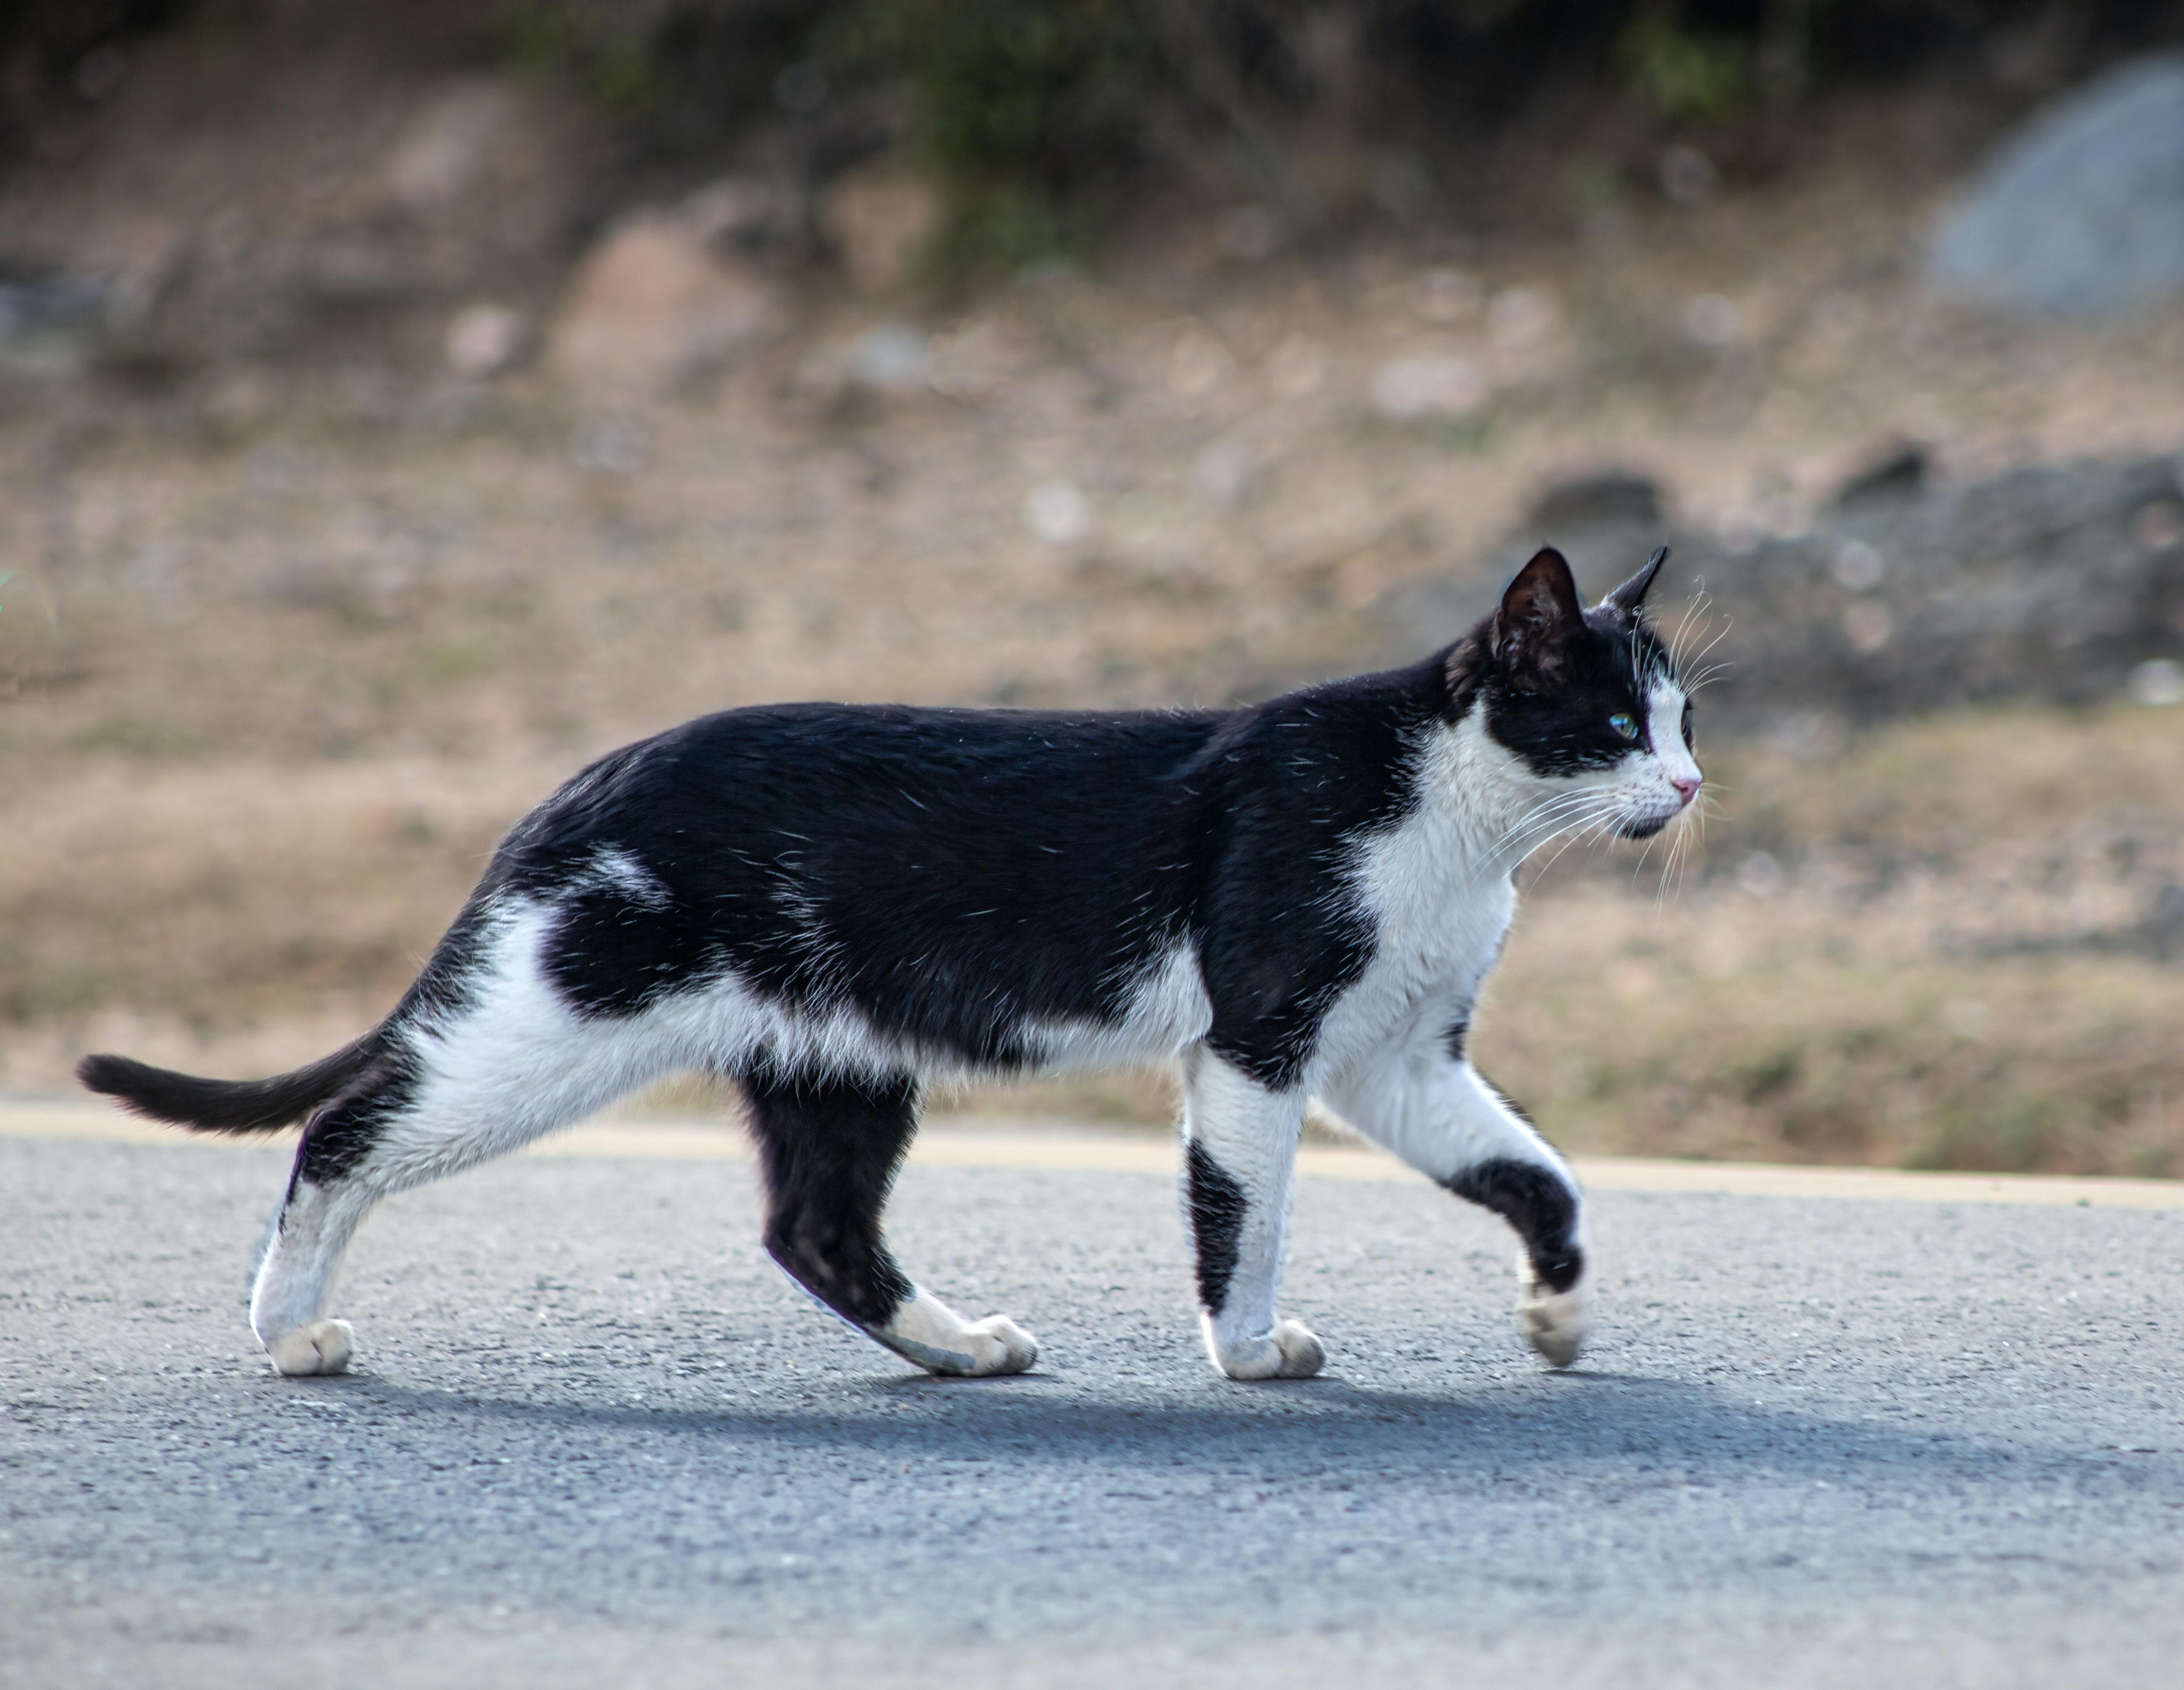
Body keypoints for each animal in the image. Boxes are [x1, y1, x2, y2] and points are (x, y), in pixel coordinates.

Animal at [81, 550, 1703, 1380]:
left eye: (1684, 720)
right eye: (1614, 727)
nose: (1690, 787)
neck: (1447, 823)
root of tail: (583, 783)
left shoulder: (1394, 1054)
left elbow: (1538, 1174)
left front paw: (1556, 1315)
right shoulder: (1259, 1040)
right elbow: (1241, 1216)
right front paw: (1243, 1353)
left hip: (835, 1061)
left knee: (815, 1228)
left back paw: (958, 1346)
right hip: (552, 1022)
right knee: (347, 1127)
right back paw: (288, 1330)